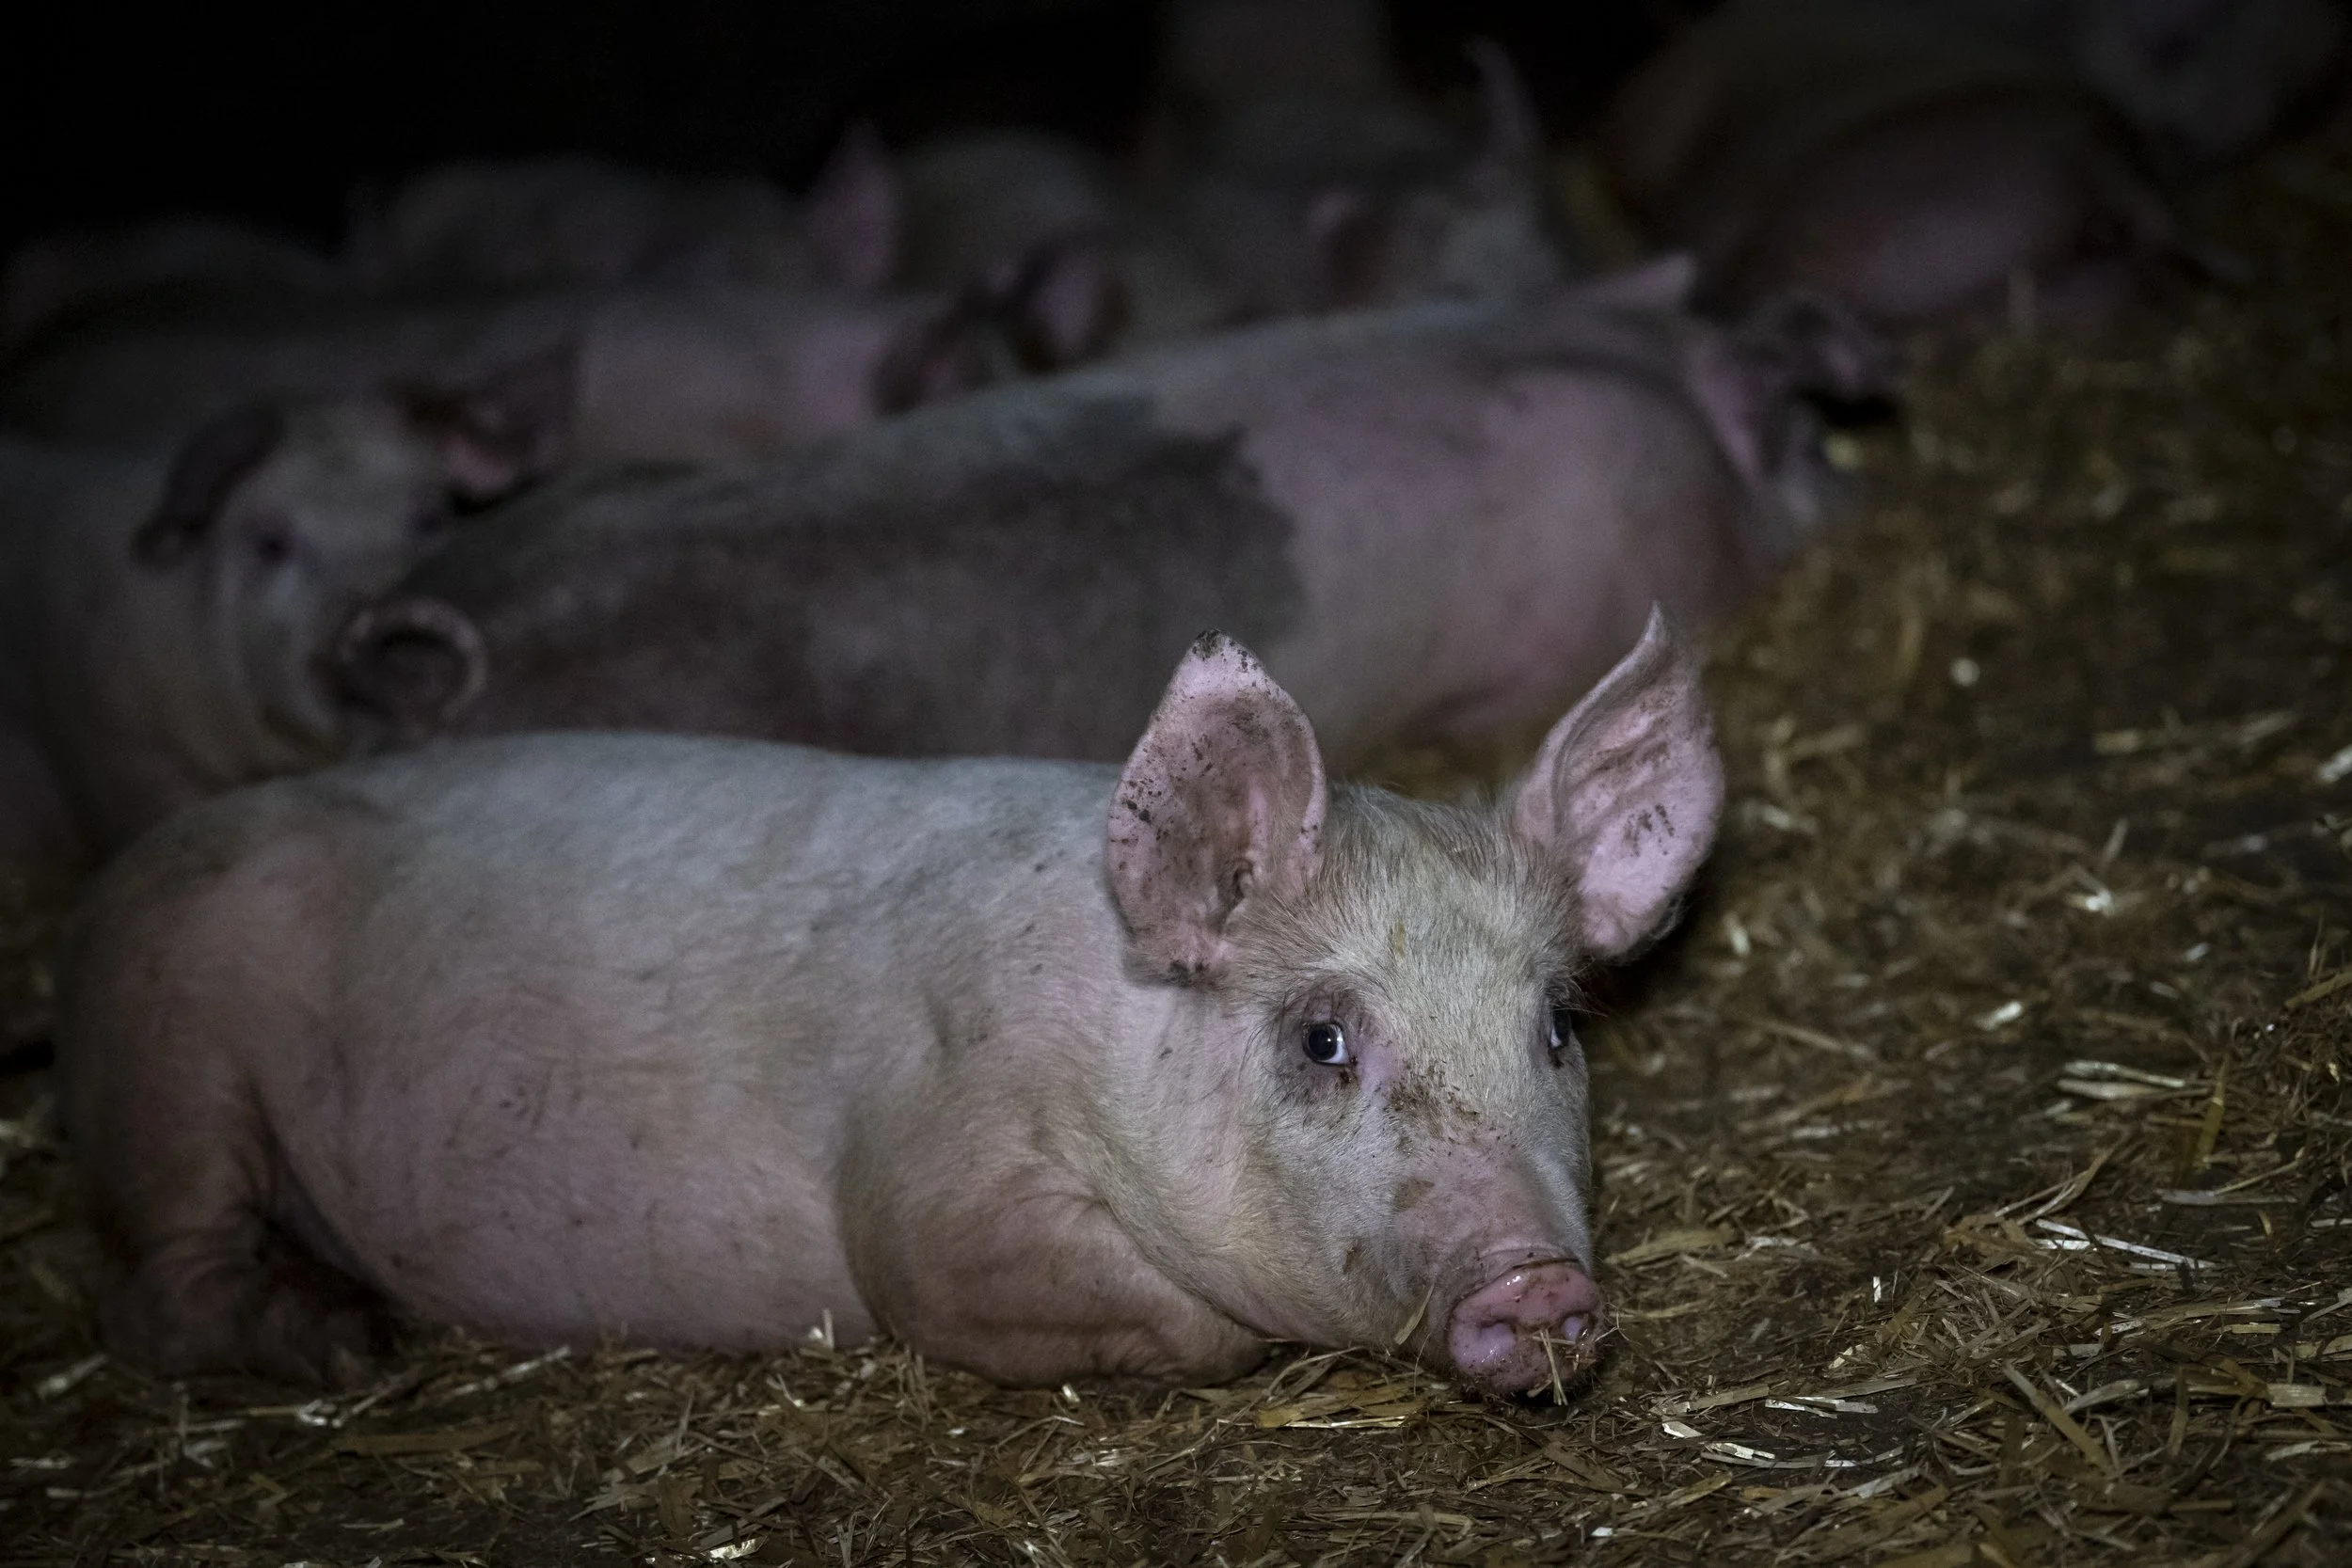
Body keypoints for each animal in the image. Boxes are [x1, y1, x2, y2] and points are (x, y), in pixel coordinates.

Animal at [58, 612, 1722, 1393]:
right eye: (1322, 1035)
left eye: (1557, 1027)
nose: (1538, 1282)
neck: (1119, 1014)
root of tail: (105, 896)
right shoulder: (931, 1181)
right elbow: (1160, 1320)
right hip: (170, 1047)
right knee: (152, 1285)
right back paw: (346, 1343)